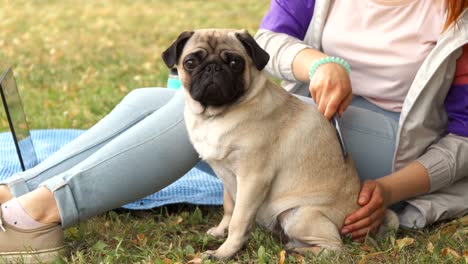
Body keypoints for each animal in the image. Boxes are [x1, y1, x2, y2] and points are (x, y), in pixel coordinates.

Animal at [162, 28, 398, 260]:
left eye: (235, 63)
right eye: (190, 62)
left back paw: (298, 250)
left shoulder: (252, 179)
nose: (213, 68)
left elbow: (239, 220)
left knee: (334, 248)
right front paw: (221, 231)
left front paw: (223, 252)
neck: (216, 115)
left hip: (299, 216)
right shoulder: (227, 177)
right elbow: (229, 208)